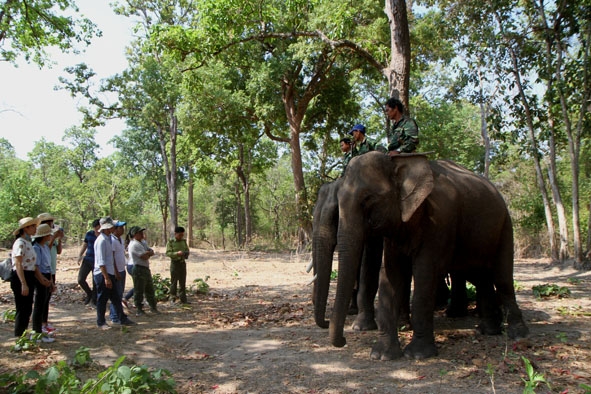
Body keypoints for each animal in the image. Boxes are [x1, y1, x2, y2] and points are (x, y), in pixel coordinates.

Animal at [330, 152, 528, 360]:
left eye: (368, 199)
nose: (342, 340)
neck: (399, 161)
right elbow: (390, 275)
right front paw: (382, 355)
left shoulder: (441, 219)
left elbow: (425, 273)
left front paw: (418, 355)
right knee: (481, 277)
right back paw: (488, 331)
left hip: (506, 225)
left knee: (502, 278)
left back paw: (518, 334)